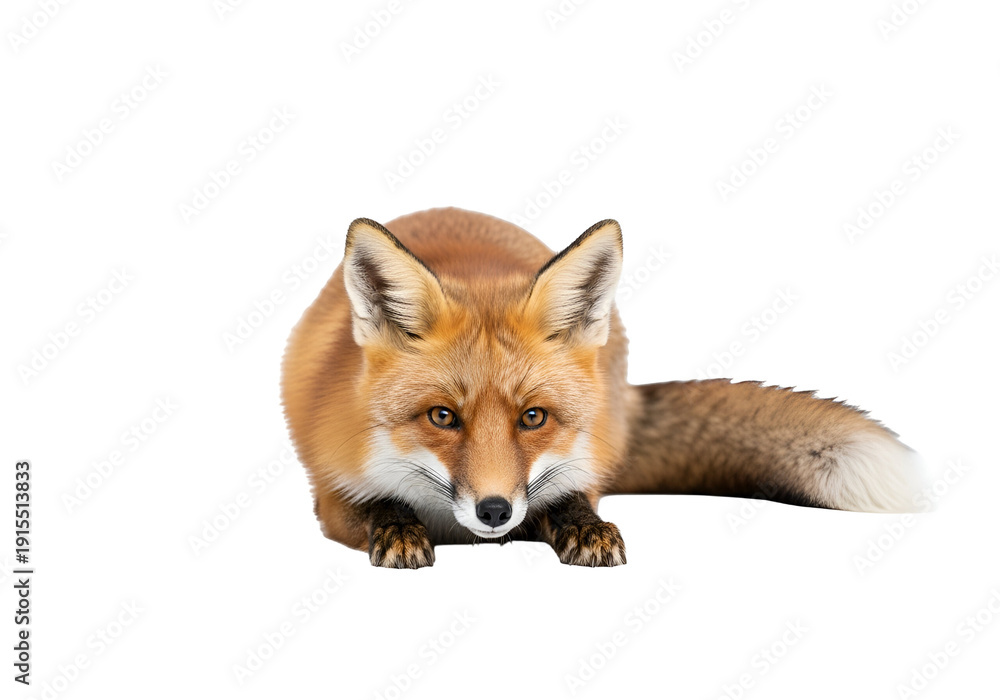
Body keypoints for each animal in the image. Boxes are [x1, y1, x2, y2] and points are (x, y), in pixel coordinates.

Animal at [281, 207, 925, 568]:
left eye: (533, 418)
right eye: (442, 417)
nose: (494, 510)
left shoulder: (569, 474)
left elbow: (566, 500)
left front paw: (585, 528)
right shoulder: (329, 491)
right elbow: (377, 504)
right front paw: (397, 527)